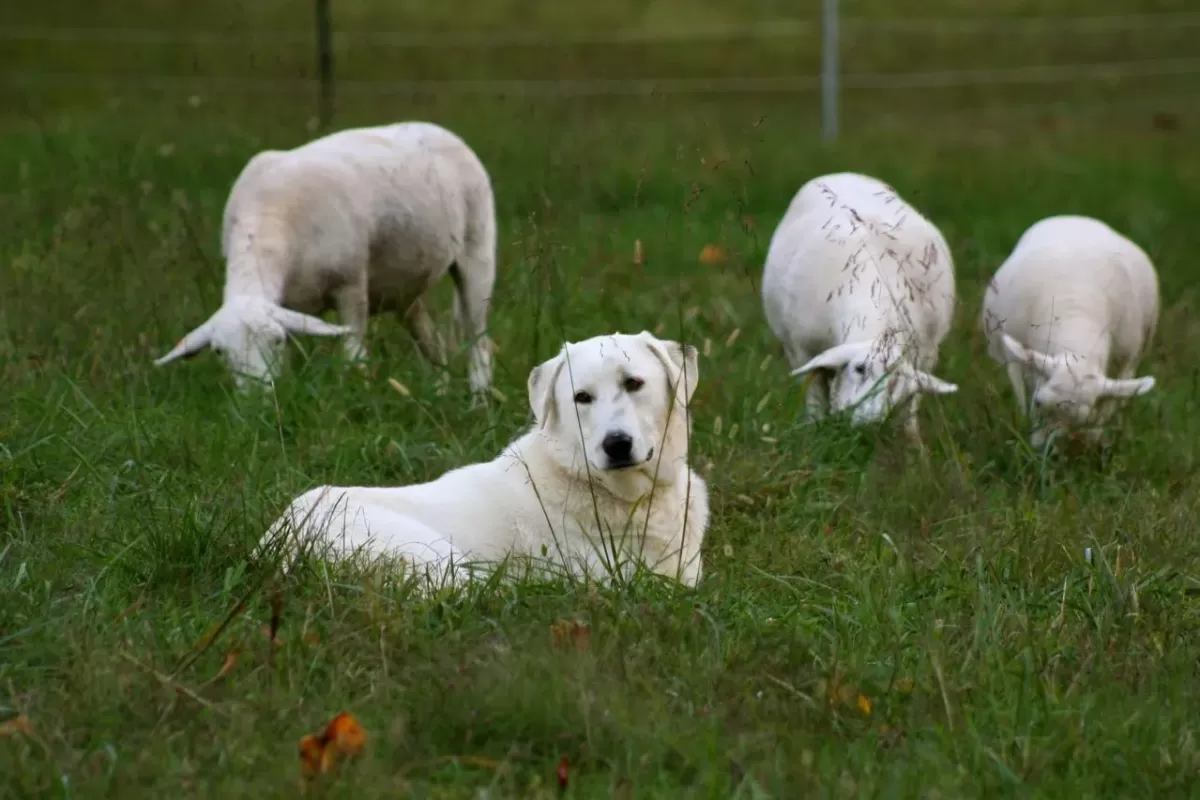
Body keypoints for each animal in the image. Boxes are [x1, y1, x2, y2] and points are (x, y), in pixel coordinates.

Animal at [151, 120, 496, 393]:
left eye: (275, 340)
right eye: (220, 352)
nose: (257, 399)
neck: (267, 223)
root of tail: (438, 129)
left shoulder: (351, 285)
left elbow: (354, 356)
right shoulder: (287, 306)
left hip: (478, 250)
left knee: (478, 339)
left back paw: (480, 401)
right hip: (403, 287)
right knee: (432, 341)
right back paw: (439, 393)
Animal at [763, 172, 960, 443]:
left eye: (896, 379)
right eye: (859, 368)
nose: (870, 422)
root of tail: (843, 175)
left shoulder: (925, 356)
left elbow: (909, 412)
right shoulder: (802, 349)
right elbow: (814, 401)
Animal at [979, 212, 1156, 448]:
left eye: (1080, 419)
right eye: (1038, 402)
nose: (1043, 451)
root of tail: (1078, 217)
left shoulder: (1124, 364)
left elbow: (1105, 410)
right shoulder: (1018, 362)